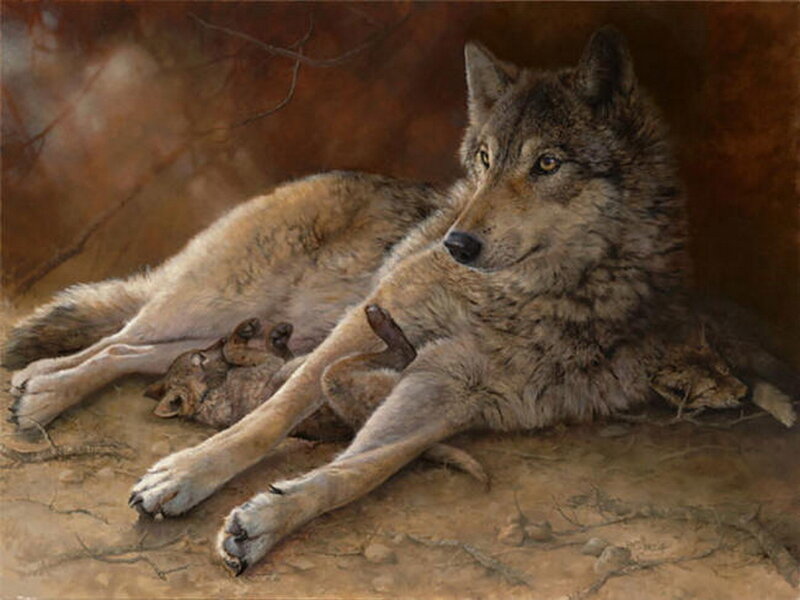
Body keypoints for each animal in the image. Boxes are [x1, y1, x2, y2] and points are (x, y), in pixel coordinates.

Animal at [4, 28, 796, 575]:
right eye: (485, 160)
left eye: (547, 163)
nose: (457, 242)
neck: (522, 296)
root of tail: (323, 174)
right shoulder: (366, 325)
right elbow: (267, 419)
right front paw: (185, 476)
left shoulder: (448, 390)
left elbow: (362, 470)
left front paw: (266, 520)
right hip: (220, 302)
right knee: (112, 339)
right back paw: (40, 393)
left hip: (240, 327)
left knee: (139, 351)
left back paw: (36, 391)